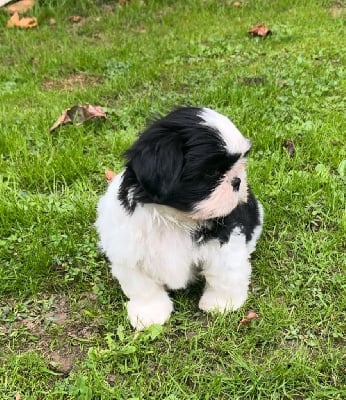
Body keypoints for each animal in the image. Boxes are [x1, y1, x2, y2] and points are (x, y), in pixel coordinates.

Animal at [96, 107, 264, 332]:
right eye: (211, 172)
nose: (237, 181)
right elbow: (142, 286)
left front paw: (222, 303)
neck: (175, 218)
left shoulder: (225, 241)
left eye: (239, 163)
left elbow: (224, 272)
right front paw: (150, 312)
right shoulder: (129, 250)